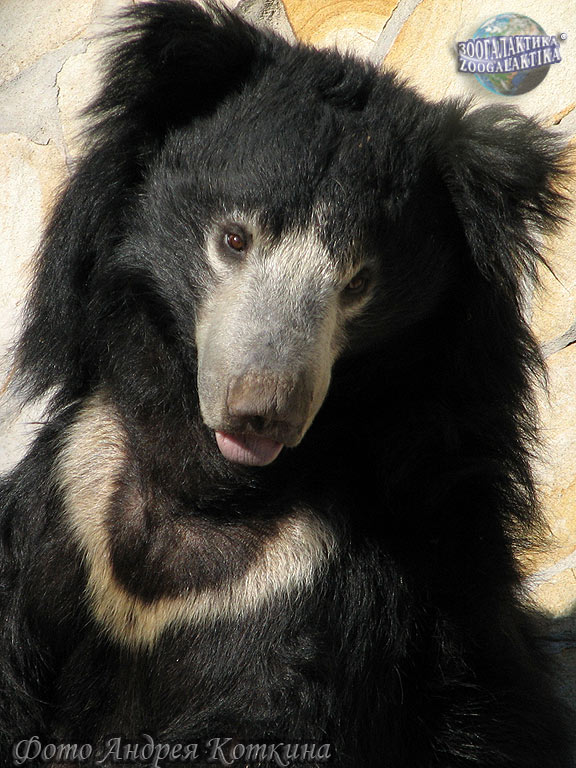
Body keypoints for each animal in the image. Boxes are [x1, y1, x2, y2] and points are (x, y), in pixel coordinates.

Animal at [0, 0, 572, 765]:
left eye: (358, 282)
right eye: (234, 239)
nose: (260, 413)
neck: (214, 487)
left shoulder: (323, 575)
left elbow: (272, 713)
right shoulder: (73, 498)